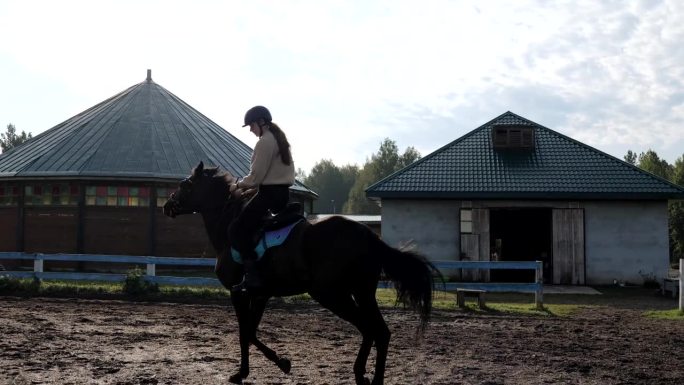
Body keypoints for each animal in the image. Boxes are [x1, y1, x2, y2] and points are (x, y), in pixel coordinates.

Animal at [163, 161, 440, 384]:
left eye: (185, 184)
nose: (167, 206)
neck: (228, 224)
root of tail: (368, 235)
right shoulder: (259, 294)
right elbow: (250, 332)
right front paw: (274, 364)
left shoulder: (239, 293)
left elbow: (244, 333)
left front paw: (251, 370)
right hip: (361, 292)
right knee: (379, 332)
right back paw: (368, 376)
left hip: (332, 294)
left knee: (370, 329)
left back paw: (362, 374)